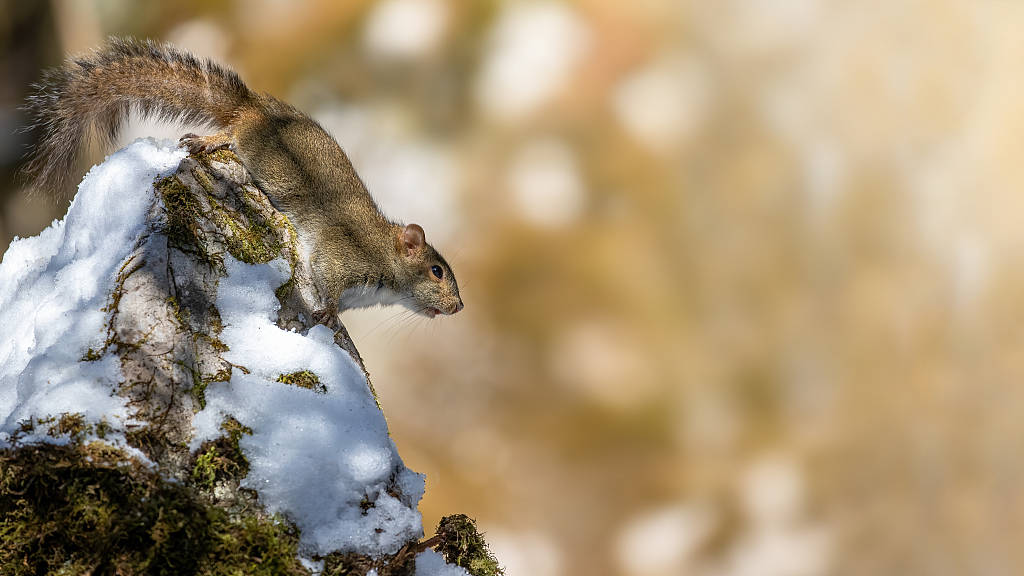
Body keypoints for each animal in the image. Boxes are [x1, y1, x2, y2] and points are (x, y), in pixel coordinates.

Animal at [19, 37, 464, 319]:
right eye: (436, 271)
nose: (459, 307)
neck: (385, 258)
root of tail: (255, 108)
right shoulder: (342, 258)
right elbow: (329, 284)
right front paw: (329, 314)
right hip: (250, 141)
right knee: (231, 133)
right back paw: (208, 141)